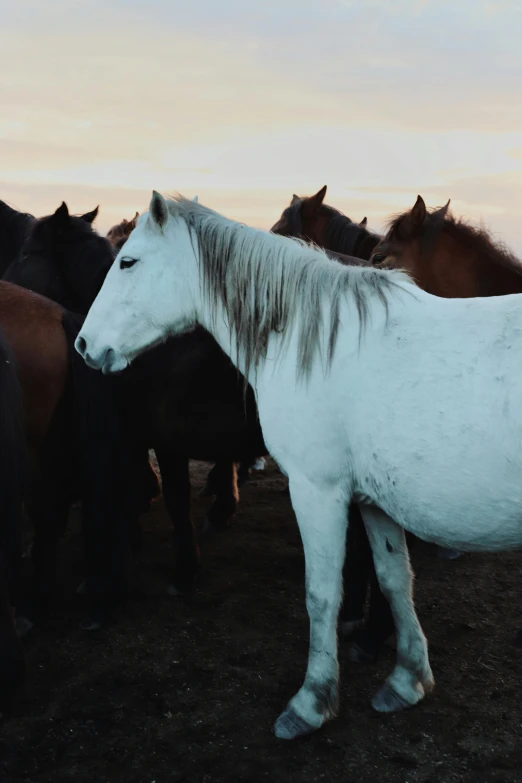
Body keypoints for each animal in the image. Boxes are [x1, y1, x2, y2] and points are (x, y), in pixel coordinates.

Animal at [75, 191, 520, 740]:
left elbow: (322, 594)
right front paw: (407, 679)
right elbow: (395, 579)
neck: (321, 342)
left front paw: (312, 702)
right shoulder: (374, 502)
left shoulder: (317, 491)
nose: (85, 345)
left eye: (127, 261)